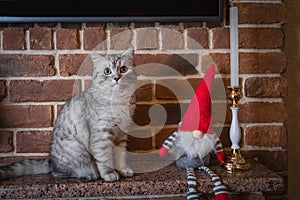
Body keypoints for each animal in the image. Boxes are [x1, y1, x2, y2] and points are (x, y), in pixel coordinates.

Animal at [0, 47, 136, 182]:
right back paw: (90, 174)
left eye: (123, 69)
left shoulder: (121, 136)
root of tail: (51, 162)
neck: (117, 101)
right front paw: (109, 173)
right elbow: (105, 159)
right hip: (76, 153)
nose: (117, 78)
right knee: (59, 173)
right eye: (107, 71)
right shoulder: (101, 136)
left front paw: (123, 170)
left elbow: (120, 158)